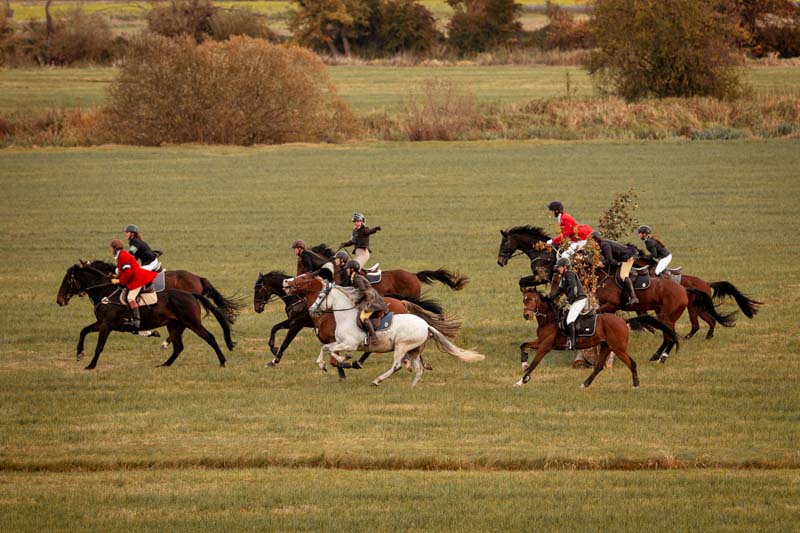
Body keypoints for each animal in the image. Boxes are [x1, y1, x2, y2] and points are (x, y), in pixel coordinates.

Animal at [56, 262, 234, 370]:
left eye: (67, 281)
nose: (59, 301)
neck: (105, 292)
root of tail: (190, 294)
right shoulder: (101, 323)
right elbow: (83, 331)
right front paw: (79, 353)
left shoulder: (106, 325)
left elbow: (99, 346)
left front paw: (91, 365)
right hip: (174, 325)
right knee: (178, 347)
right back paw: (164, 364)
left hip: (192, 323)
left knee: (209, 338)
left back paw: (222, 361)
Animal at [306, 282, 484, 386]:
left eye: (320, 296)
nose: (311, 310)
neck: (346, 316)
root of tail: (426, 325)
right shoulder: (340, 342)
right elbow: (326, 348)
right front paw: (324, 364)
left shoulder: (351, 344)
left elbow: (331, 351)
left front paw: (344, 358)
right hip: (414, 350)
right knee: (419, 369)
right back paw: (412, 387)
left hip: (401, 347)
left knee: (397, 366)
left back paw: (377, 380)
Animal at [516, 286, 680, 386]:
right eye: (523, 299)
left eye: (531, 299)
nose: (526, 315)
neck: (549, 320)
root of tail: (623, 321)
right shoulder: (540, 342)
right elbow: (523, 345)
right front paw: (524, 365)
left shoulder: (545, 346)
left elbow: (534, 363)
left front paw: (521, 380)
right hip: (607, 346)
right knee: (599, 366)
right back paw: (584, 384)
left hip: (618, 348)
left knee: (631, 363)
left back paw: (636, 385)